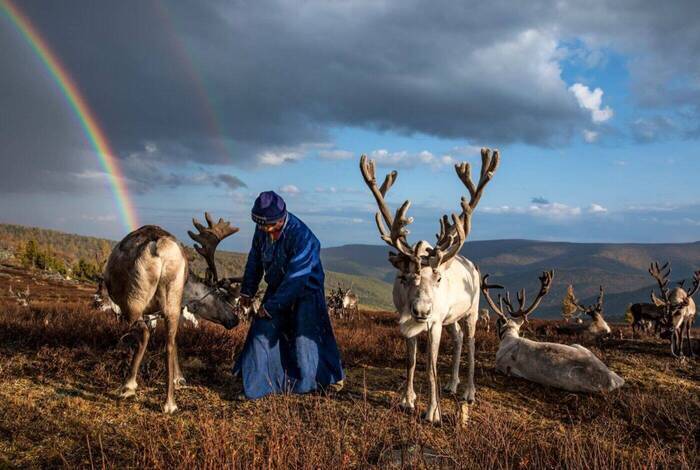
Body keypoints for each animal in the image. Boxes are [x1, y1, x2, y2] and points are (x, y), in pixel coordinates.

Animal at [102, 213, 241, 413]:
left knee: (148, 335)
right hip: (170, 294)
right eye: (221, 296)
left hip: (136, 300)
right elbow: (174, 342)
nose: (235, 319)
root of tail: (159, 246)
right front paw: (179, 378)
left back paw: (135, 387)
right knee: (167, 342)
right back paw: (168, 402)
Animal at [360, 147, 499, 423]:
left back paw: (468, 391)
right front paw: (408, 399)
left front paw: (433, 412)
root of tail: (472, 265)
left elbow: (431, 366)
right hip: (450, 317)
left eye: (438, 278)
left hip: (472, 311)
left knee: (470, 343)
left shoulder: (434, 323)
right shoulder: (406, 319)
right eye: (404, 278)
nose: (422, 310)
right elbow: (411, 361)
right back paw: (452, 384)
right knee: (457, 339)